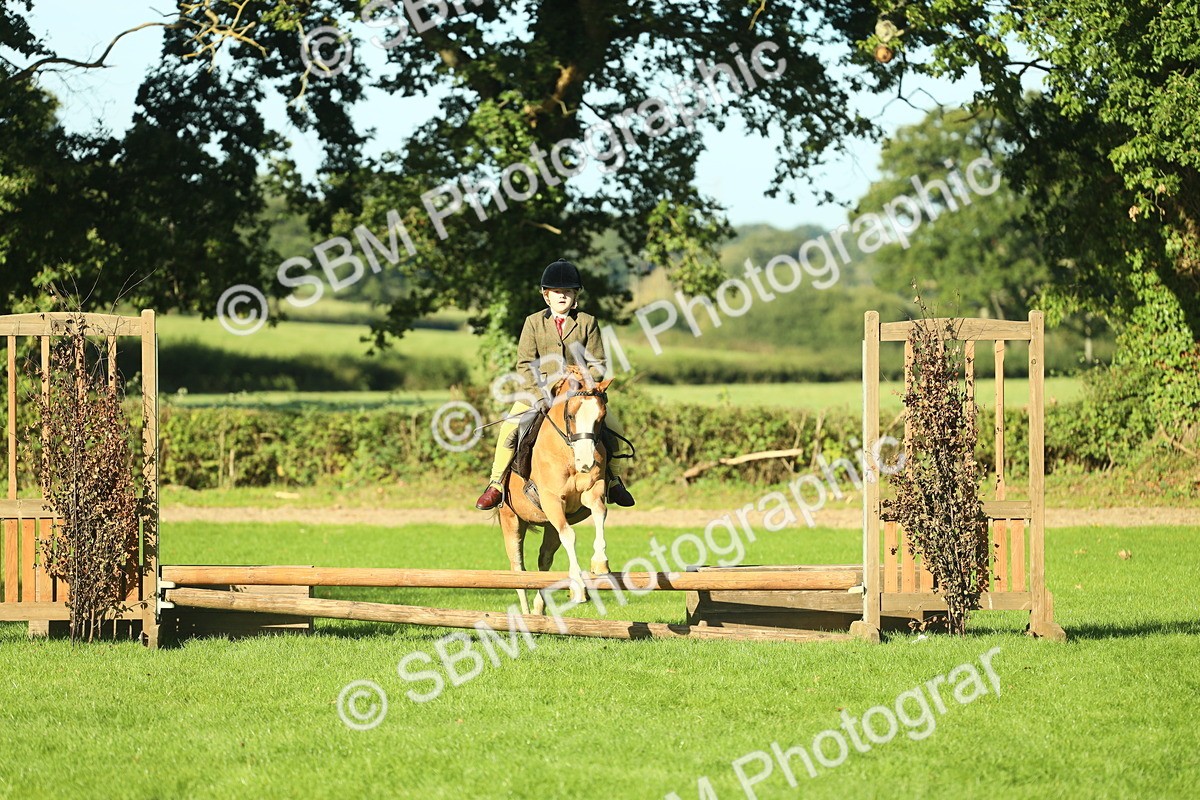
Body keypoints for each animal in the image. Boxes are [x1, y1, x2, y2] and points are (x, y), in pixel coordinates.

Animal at [497, 365, 614, 615]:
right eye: (570, 416)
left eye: (601, 418)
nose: (586, 462)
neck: (567, 451)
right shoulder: (551, 500)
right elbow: (570, 535)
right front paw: (578, 587)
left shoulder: (592, 491)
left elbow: (600, 513)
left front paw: (600, 562)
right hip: (511, 519)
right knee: (518, 569)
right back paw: (525, 614)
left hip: (550, 525)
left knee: (544, 560)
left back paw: (539, 608)